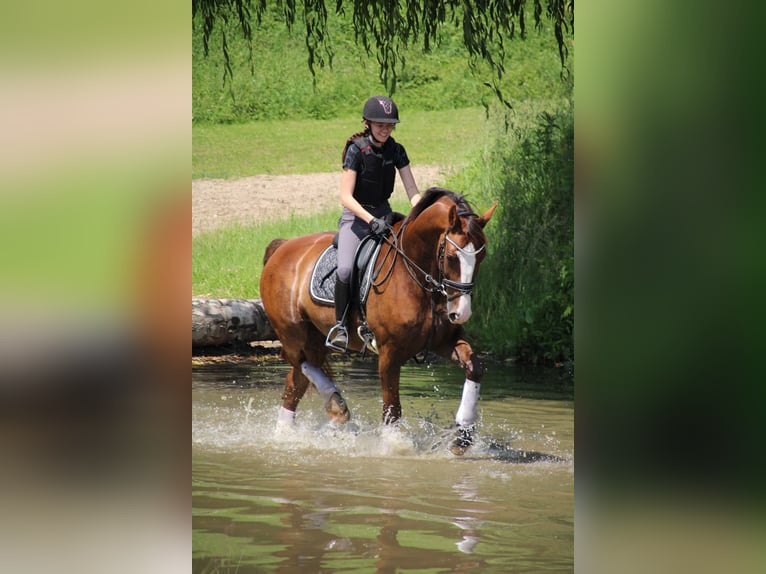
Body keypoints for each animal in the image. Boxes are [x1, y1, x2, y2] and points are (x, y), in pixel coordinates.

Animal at [259, 187, 496, 454]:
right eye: (452, 257)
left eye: (482, 256)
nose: (461, 313)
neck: (415, 277)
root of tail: (282, 247)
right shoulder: (389, 353)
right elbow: (392, 406)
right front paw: (395, 444)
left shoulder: (443, 341)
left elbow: (475, 367)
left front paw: (463, 437)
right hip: (293, 332)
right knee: (295, 359)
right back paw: (336, 405)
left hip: (314, 339)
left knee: (296, 381)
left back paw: (287, 433)